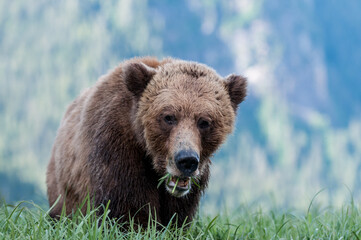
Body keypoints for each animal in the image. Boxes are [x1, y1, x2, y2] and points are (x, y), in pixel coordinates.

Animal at [46, 57, 246, 226]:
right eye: (168, 117)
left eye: (204, 122)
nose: (186, 160)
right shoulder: (117, 146)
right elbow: (129, 207)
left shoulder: (190, 187)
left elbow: (177, 216)